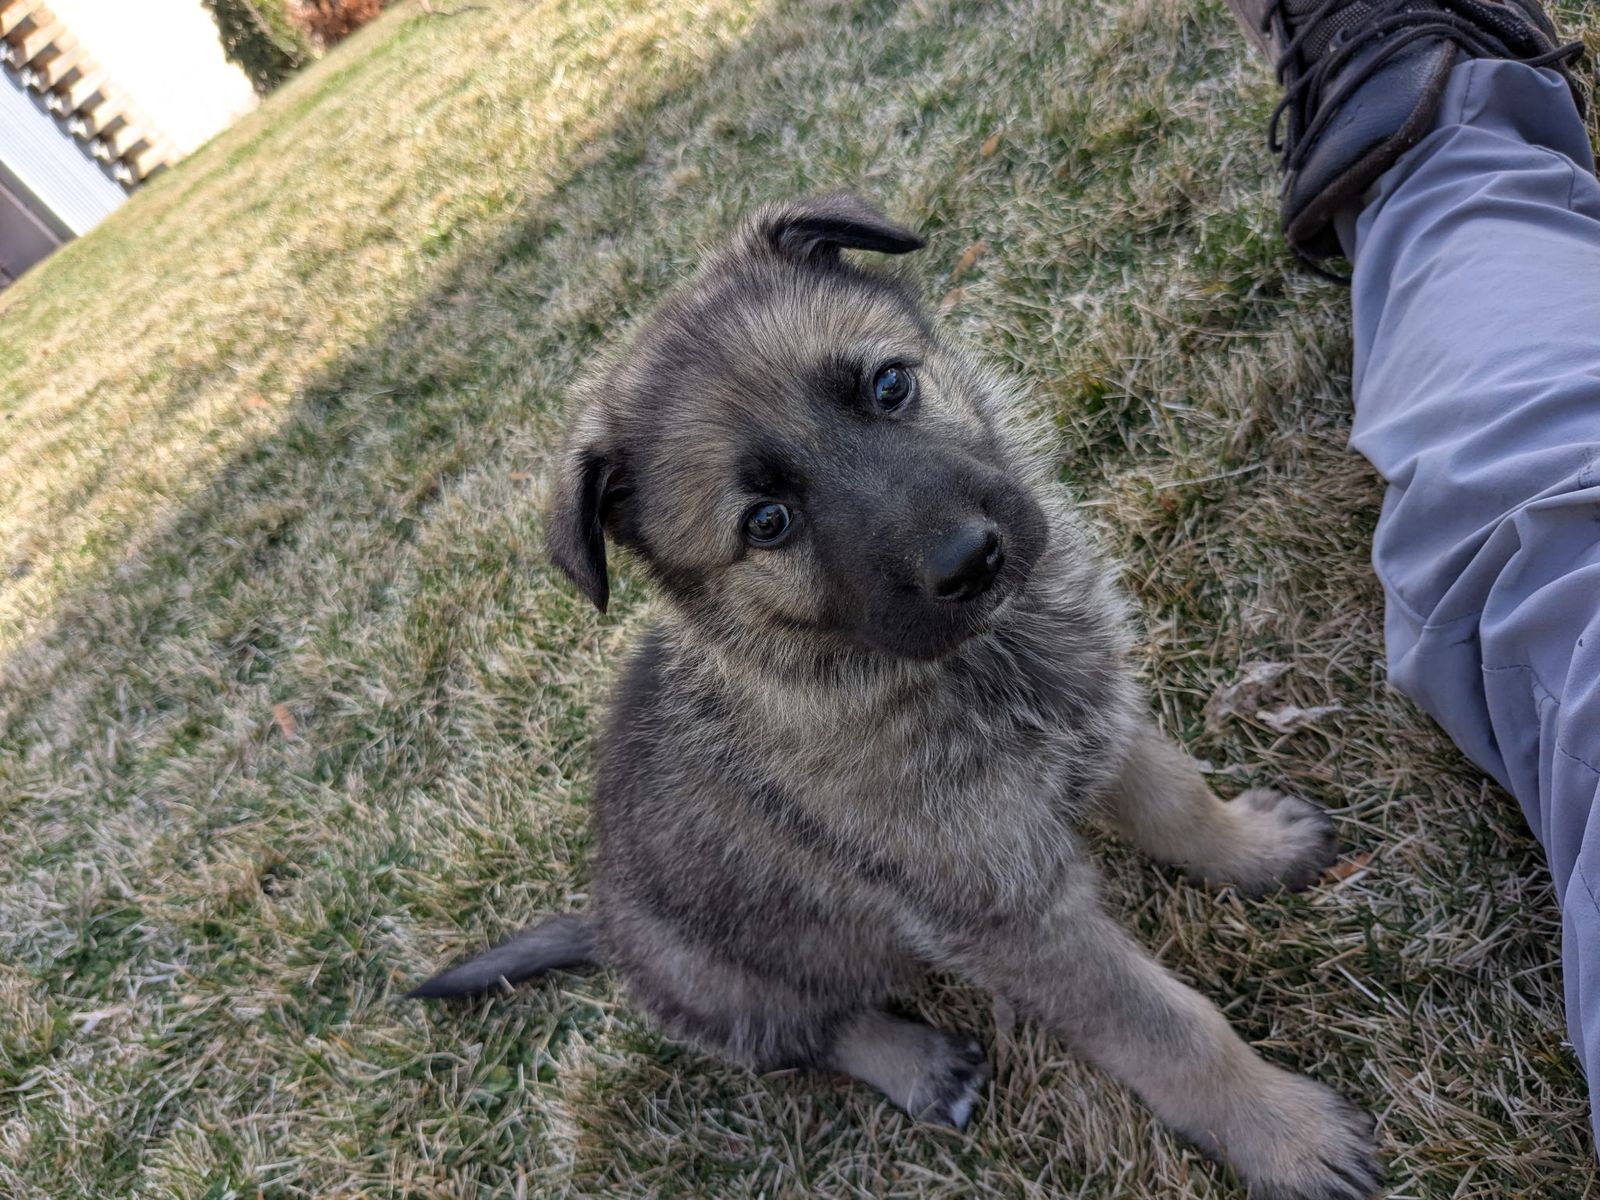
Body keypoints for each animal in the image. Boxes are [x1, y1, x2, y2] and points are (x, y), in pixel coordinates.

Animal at [411, 194, 1381, 1200]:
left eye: (887, 387)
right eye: (767, 523)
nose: (972, 561)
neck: (961, 664)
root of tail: (603, 930)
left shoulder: (1096, 714)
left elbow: (1177, 800)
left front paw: (1253, 847)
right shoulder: (1009, 913)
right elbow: (1167, 1028)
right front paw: (1283, 1133)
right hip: (729, 979)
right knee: (809, 1032)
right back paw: (917, 1064)